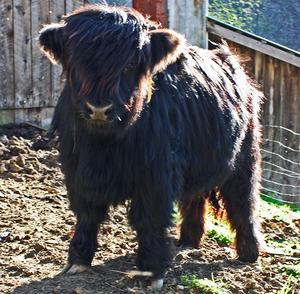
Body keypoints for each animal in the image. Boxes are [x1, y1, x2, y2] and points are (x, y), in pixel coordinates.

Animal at [38, 4, 264, 290]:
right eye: (76, 62)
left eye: (129, 64)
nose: (99, 108)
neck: (104, 144)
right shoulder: (76, 169)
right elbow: (86, 214)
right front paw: (77, 261)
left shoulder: (155, 176)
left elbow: (150, 220)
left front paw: (150, 273)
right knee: (195, 197)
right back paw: (188, 241)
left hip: (245, 156)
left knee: (243, 201)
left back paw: (249, 253)